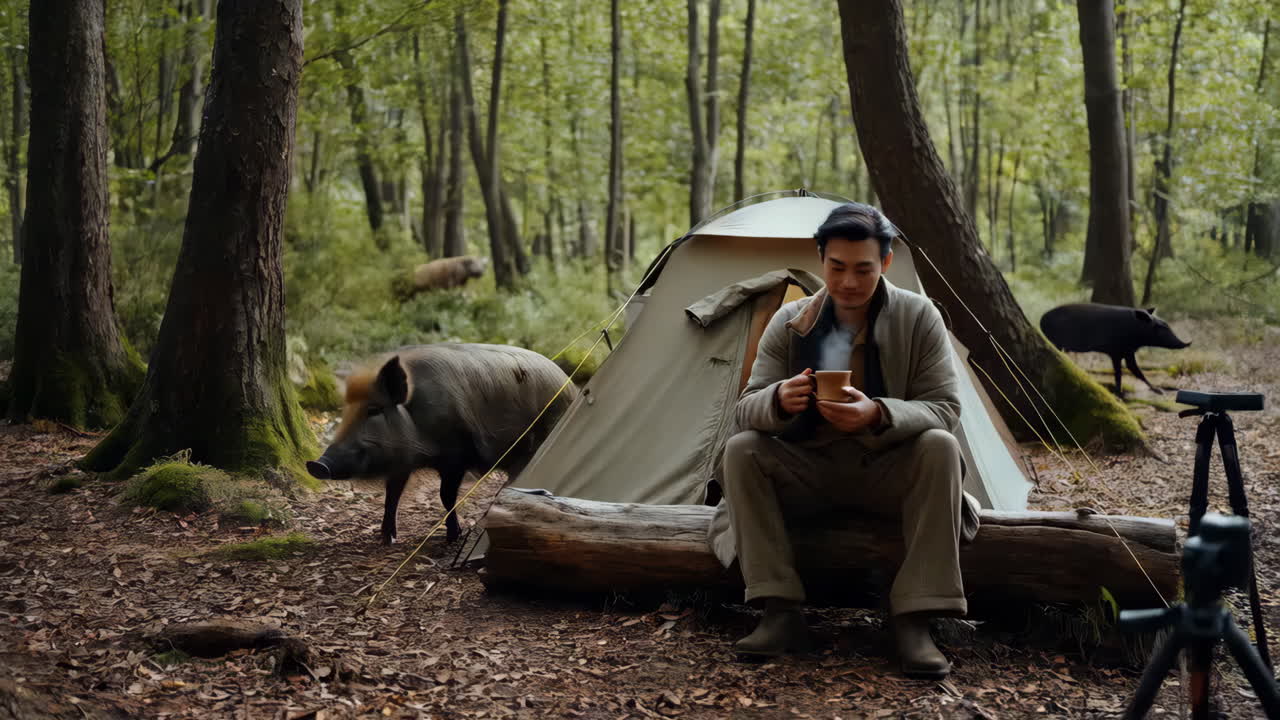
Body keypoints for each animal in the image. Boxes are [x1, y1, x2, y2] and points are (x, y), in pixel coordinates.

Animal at [306, 343, 577, 544]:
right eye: (346, 410)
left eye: (374, 410)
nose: (316, 464)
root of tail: (571, 387)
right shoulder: (403, 462)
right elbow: (392, 495)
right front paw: (386, 539)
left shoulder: (456, 457)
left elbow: (445, 495)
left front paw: (452, 537)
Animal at [1039, 303, 1191, 397]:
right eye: (1160, 328)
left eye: (1166, 325)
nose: (1188, 343)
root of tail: (1041, 320)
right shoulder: (1117, 351)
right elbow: (1125, 372)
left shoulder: (1126, 351)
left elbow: (1129, 370)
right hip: (1056, 341)